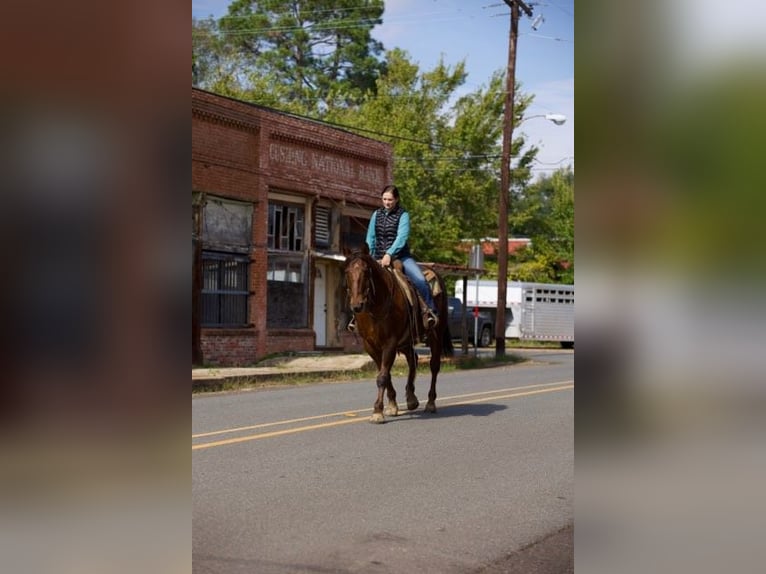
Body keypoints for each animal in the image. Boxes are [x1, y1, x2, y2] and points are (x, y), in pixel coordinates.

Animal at [344, 245, 456, 426]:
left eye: (366, 272)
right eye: (347, 271)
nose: (357, 305)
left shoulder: (389, 342)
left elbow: (382, 376)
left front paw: (377, 412)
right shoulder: (371, 345)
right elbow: (386, 373)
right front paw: (392, 405)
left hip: (435, 335)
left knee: (434, 366)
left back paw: (430, 403)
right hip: (405, 341)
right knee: (413, 360)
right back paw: (411, 398)